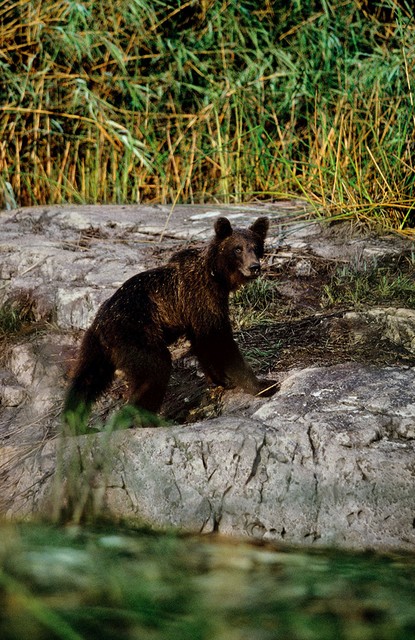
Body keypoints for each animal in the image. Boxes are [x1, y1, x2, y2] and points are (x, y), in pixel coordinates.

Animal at [63, 215, 278, 430]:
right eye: (238, 248)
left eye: (256, 246)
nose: (254, 267)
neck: (217, 276)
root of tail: (101, 325)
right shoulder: (202, 298)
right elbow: (220, 341)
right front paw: (264, 385)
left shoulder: (195, 313)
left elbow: (203, 344)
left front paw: (221, 379)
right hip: (136, 334)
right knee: (154, 371)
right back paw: (146, 419)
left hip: (95, 347)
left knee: (86, 381)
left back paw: (75, 421)